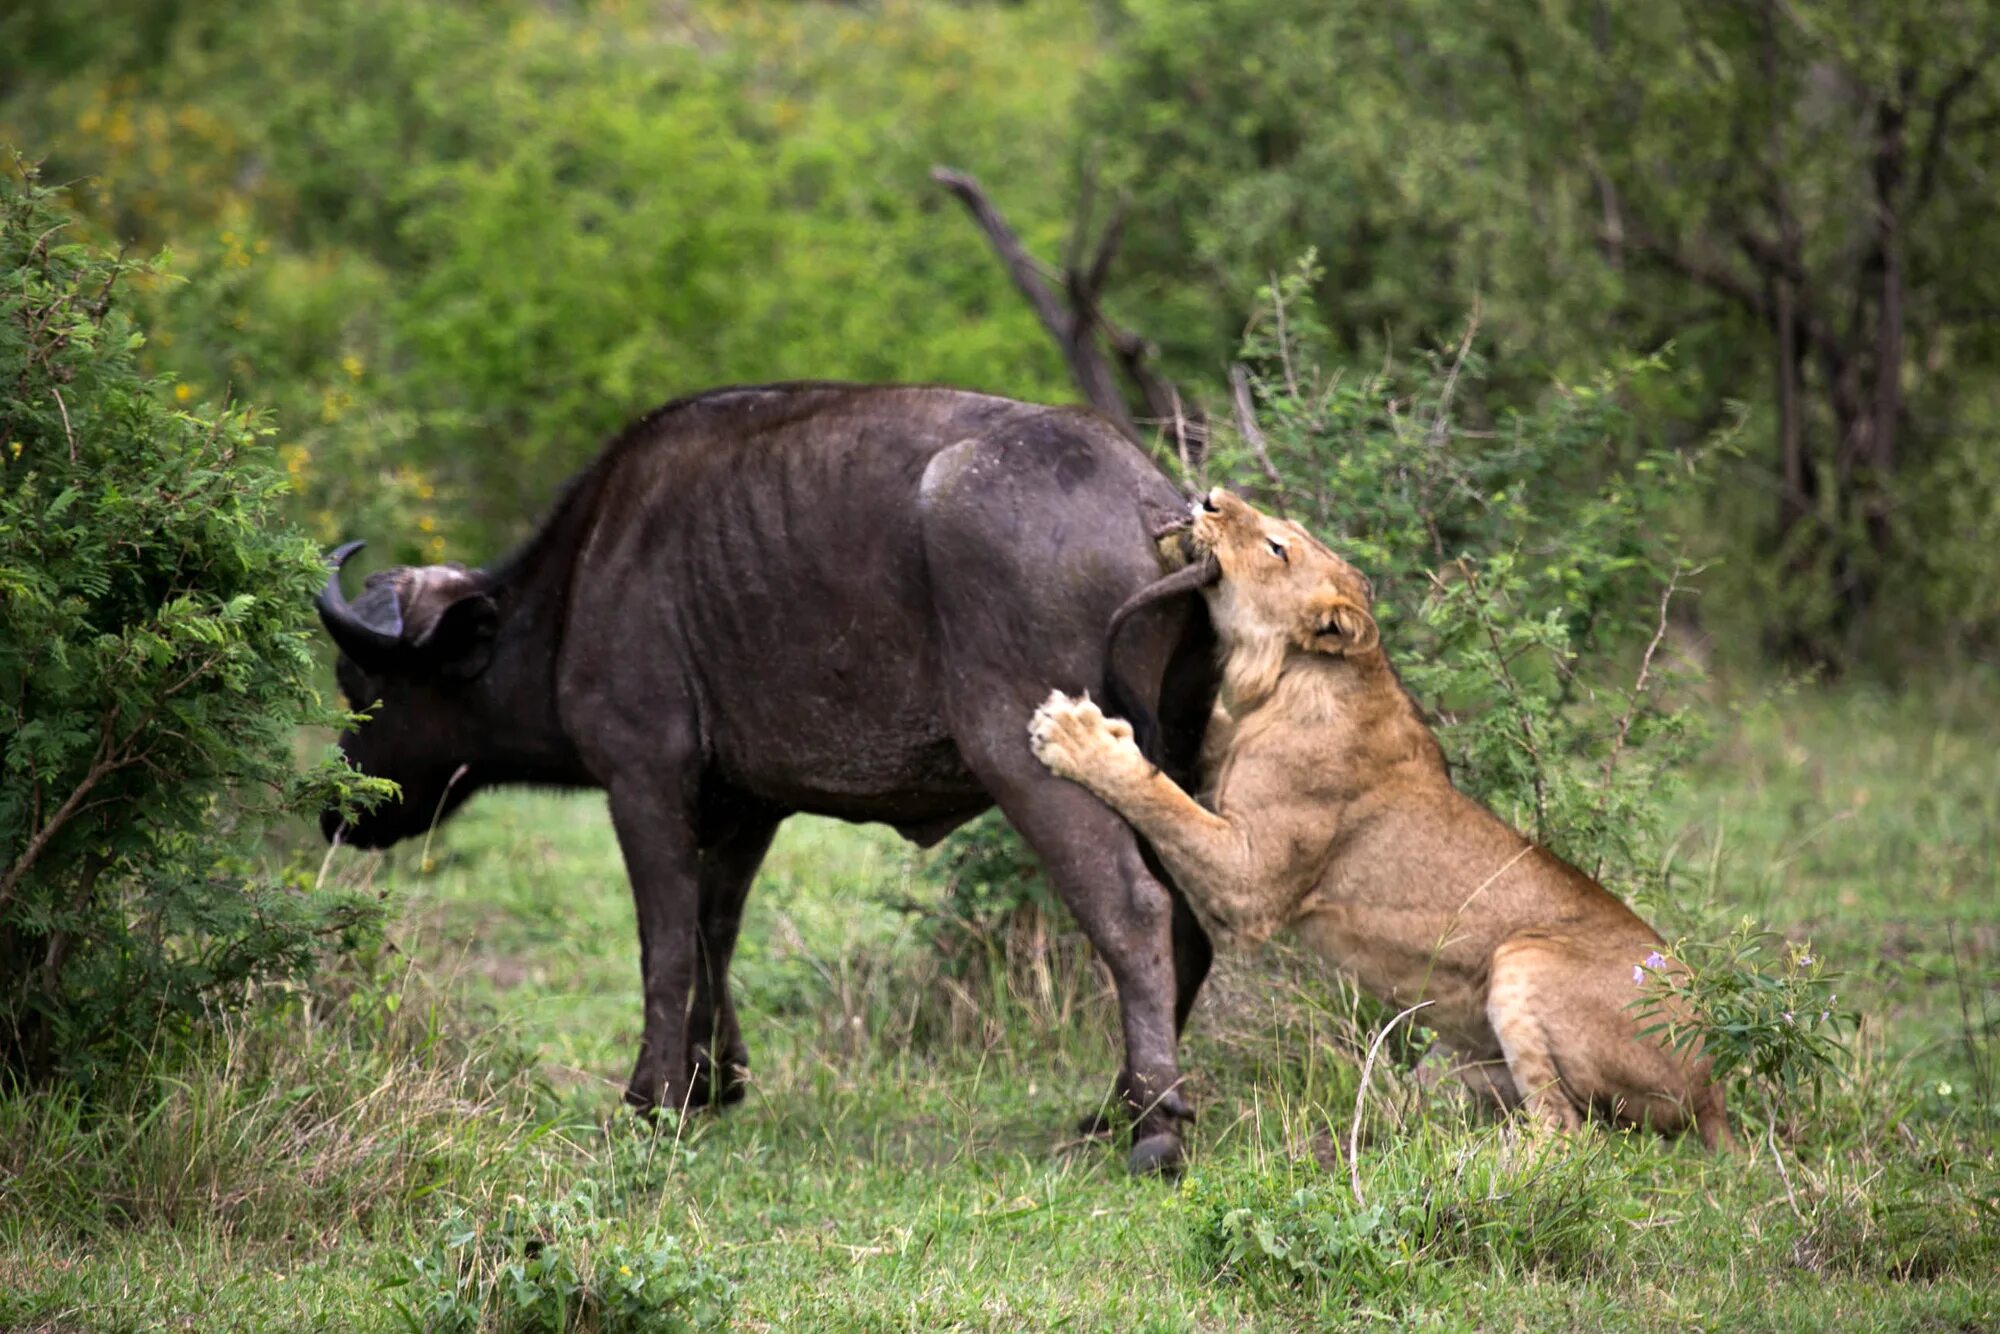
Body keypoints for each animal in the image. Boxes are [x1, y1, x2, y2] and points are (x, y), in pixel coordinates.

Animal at [314, 380, 1216, 1176]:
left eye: (360, 683)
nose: (337, 814)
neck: (582, 582)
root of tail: (1150, 504)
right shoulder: (747, 808)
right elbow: (714, 930)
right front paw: (713, 1078)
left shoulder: (642, 780)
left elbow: (664, 944)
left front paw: (652, 1099)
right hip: (1176, 761)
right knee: (1189, 921)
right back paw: (1119, 1107)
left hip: (1030, 757)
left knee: (1133, 910)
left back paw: (1153, 1130)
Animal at [1032, 490, 1736, 1152]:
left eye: (1278, 547)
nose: (1210, 498)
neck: (1286, 676)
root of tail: (1714, 1089)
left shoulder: (1251, 887)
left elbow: (1160, 798)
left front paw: (1073, 735)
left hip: (1524, 958)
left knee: (1566, 1131)